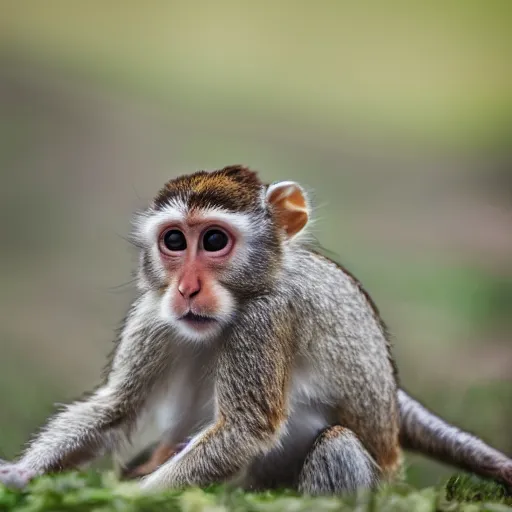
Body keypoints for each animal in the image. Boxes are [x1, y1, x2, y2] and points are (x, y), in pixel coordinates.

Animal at [1, 166, 512, 494]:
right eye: (174, 241)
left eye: (213, 240)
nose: (186, 288)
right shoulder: (152, 311)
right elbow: (118, 408)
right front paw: (21, 474)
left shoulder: (265, 318)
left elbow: (246, 427)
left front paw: (135, 499)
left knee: (336, 445)